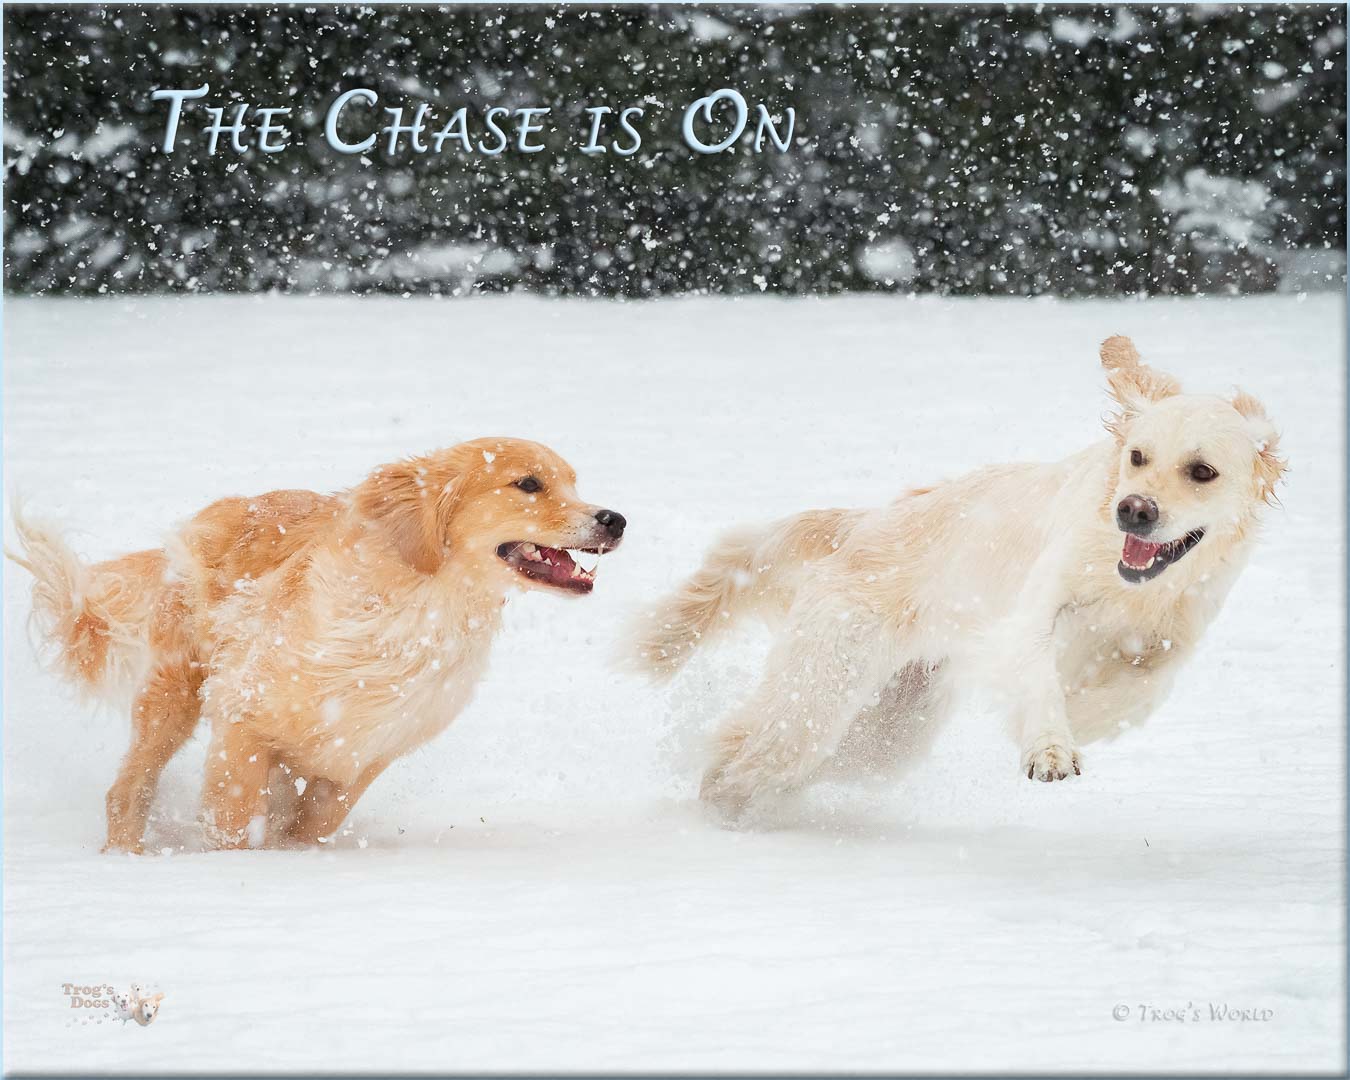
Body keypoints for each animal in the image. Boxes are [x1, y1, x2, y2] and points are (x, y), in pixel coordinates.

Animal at [631, 337, 1285, 820]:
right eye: (1138, 456)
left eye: (1202, 471)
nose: (1133, 510)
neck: (1131, 586)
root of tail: (865, 523)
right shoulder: (1034, 611)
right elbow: (1041, 678)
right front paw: (1049, 747)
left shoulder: (1174, 640)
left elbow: (1136, 690)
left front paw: (1078, 721)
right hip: (824, 686)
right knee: (750, 746)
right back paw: (718, 808)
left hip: (890, 730)